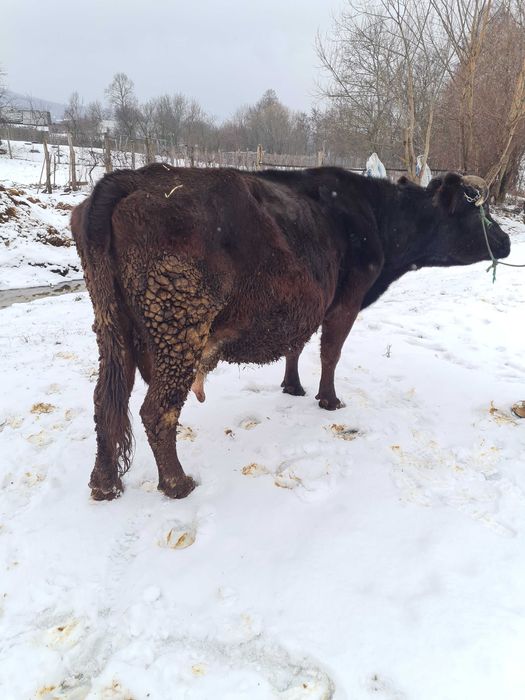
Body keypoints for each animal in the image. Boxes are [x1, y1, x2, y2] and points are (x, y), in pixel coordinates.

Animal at [71, 164, 510, 501]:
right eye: (478, 211)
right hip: (178, 326)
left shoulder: (305, 304)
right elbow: (330, 353)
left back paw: (104, 484)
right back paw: (178, 484)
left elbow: (296, 345)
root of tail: (130, 178)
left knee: (105, 399)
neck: (377, 218)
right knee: (156, 409)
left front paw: (292, 386)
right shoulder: (346, 301)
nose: (506, 241)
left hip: (111, 326)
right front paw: (329, 400)